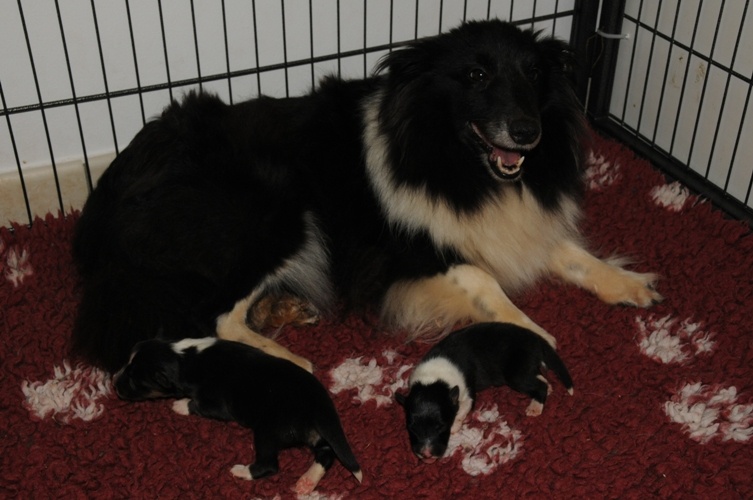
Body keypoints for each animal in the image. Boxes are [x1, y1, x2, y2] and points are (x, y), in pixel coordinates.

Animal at [70, 19, 656, 374]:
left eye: (534, 73)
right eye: (475, 74)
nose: (527, 132)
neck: (456, 160)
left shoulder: (520, 223)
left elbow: (571, 253)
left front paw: (629, 283)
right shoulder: (408, 257)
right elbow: (485, 281)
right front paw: (535, 335)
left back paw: (285, 308)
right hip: (273, 209)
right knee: (213, 317)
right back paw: (289, 362)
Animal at [114, 338, 364, 494]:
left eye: (135, 380)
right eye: (125, 364)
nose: (114, 384)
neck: (184, 358)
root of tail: (319, 402)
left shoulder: (218, 405)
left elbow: (197, 404)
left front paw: (180, 405)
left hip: (268, 430)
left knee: (270, 465)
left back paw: (243, 471)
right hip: (311, 432)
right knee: (326, 452)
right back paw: (307, 482)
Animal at [396, 322, 572, 462]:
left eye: (441, 426)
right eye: (411, 428)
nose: (427, 455)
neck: (434, 379)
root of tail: (536, 339)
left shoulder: (466, 394)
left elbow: (461, 411)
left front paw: (454, 426)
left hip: (516, 374)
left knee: (539, 386)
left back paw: (535, 406)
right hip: (526, 369)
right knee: (541, 378)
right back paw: (548, 387)